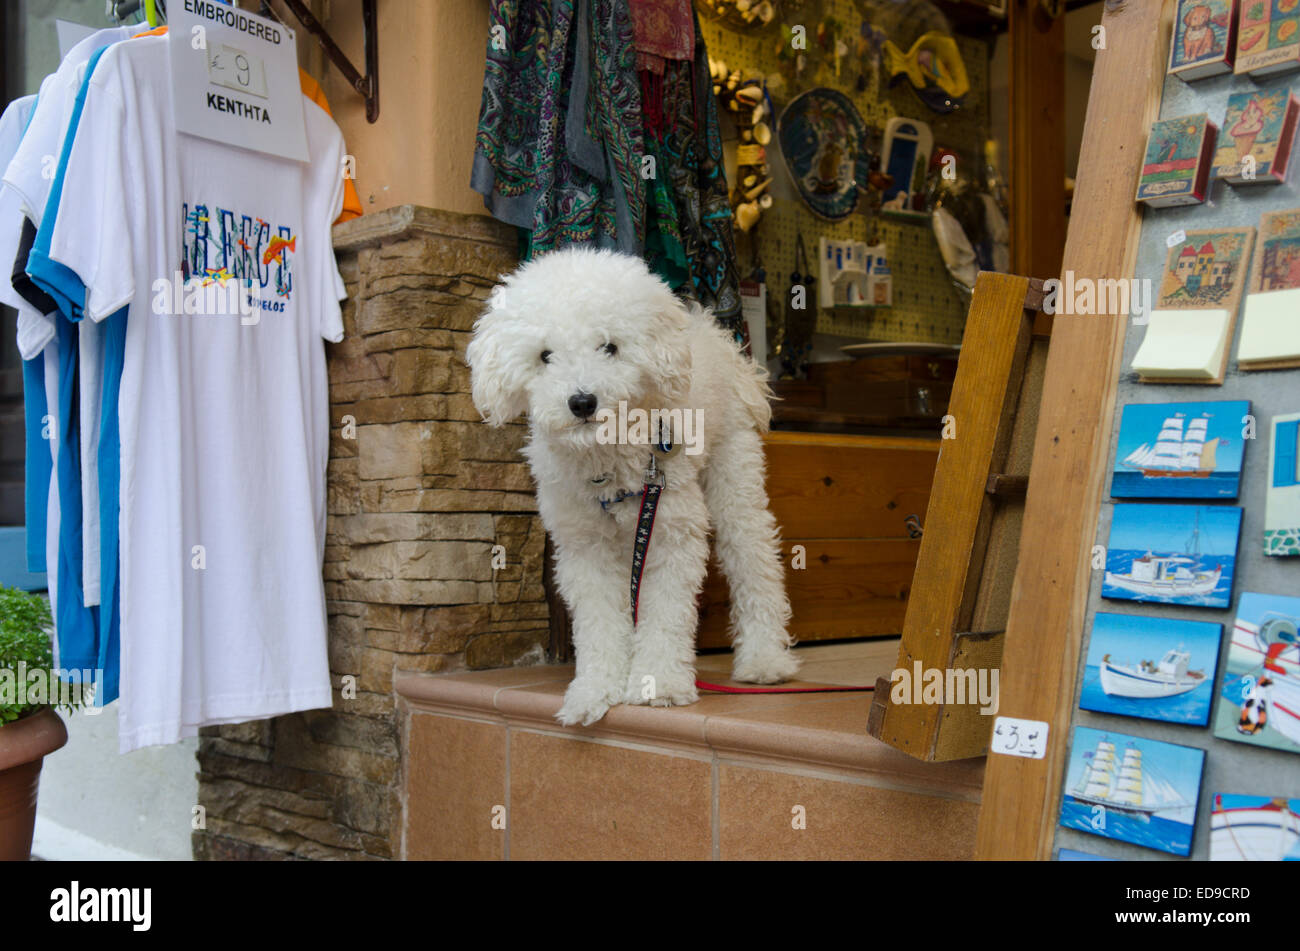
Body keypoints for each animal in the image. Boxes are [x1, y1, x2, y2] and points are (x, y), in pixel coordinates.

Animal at [462, 249, 795, 722]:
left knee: (754, 559)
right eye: (545, 355)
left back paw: (765, 660)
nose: (582, 401)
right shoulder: (585, 549)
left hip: (735, 470)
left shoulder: (671, 532)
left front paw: (658, 684)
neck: (607, 461)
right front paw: (594, 691)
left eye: (610, 347)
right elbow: (599, 624)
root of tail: (713, 333)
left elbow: (666, 614)